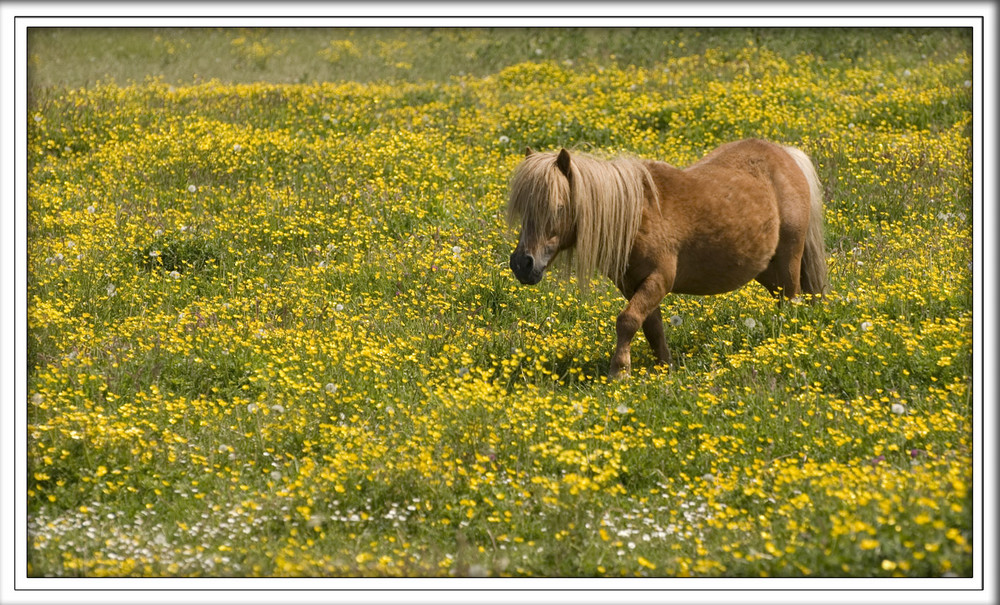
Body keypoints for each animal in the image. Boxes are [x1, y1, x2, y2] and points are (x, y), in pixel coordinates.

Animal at [508, 140, 828, 378]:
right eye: (523, 208)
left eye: (559, 208)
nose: (522, 264)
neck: (637, 215)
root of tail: (786, 154)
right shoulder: (633, 285)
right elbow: (651, 328)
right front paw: (665, 369)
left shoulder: (659, 279)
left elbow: (627, 321)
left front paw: (619, 372)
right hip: (765, 269)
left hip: (788, 257)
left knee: (792, 300)